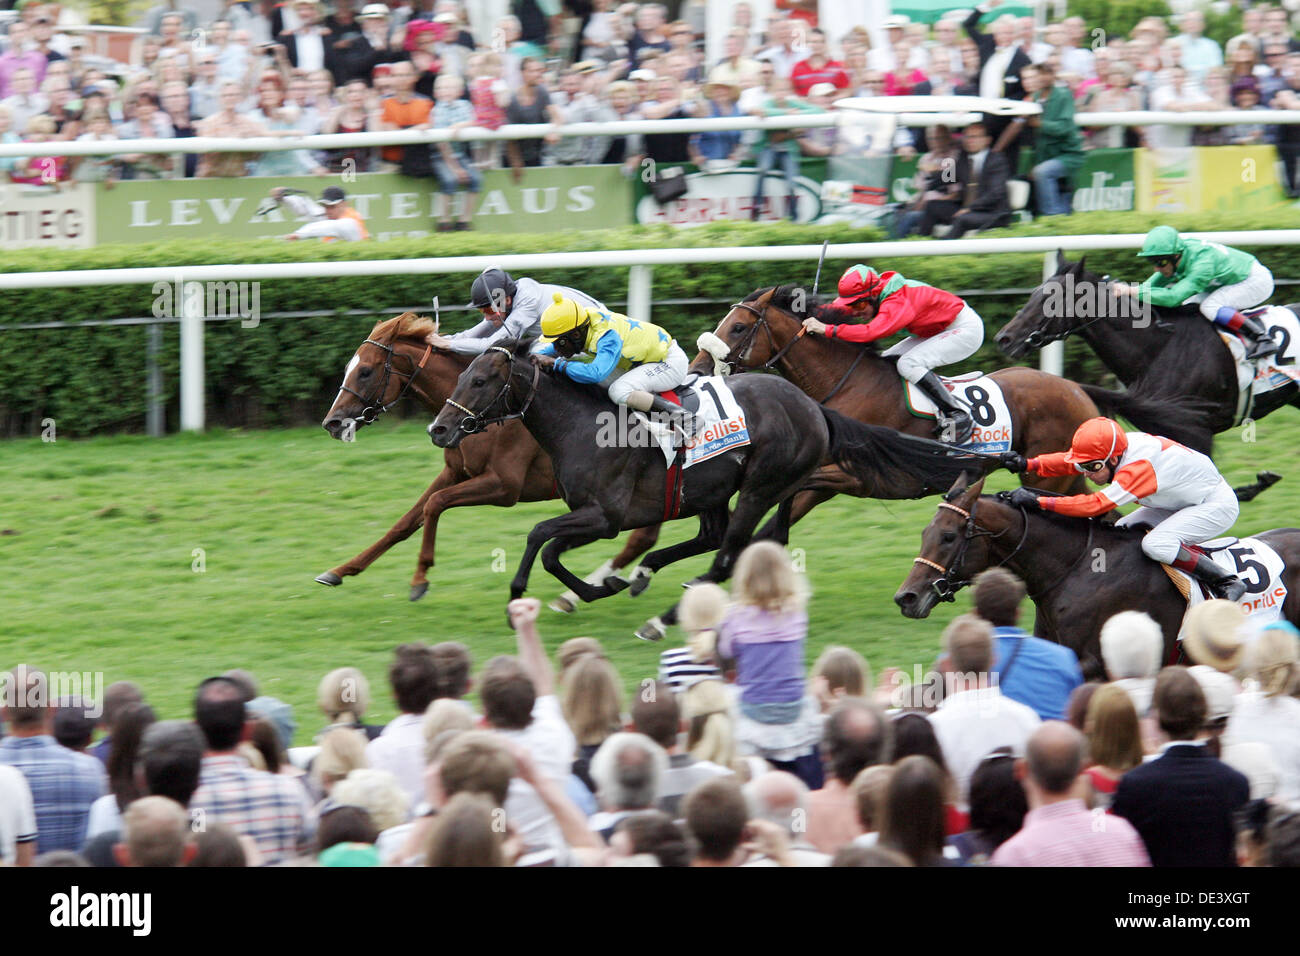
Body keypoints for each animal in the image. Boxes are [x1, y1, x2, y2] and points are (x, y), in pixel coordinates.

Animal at [315, 317, 660, 608]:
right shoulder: (454, 471)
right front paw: (340, 570)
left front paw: (420, 579)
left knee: (640, 535)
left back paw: (585, 591)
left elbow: (435, 504)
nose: (332, 422)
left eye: (365, 371)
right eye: (349, 367)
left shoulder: (504, 486)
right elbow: (408, 520)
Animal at [426, 338, 982, 642]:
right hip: (713, 491)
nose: (439, 429)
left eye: (480, 380)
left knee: (729, 553)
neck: (581, 425)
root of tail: (814, 407)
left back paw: (661, 617)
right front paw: (598, 587)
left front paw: (519, 596)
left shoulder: (606, 516)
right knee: (718, 540)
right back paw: (647, 576)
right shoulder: (593, 516)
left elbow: (539, 535)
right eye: (465, 375)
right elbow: (550, 549)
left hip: (759, 486)